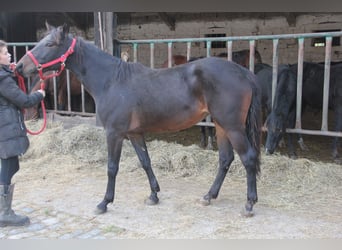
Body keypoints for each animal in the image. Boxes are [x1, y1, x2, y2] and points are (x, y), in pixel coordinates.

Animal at [15, 24, 262, 218]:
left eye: (49, 44)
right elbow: (145, 162)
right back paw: (209, 196)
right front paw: (153, 195)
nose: (19, 66)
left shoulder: (114, 133)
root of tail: (244, 73)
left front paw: (104, 202)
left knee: (248, 158)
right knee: (225, 159)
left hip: (233, 127)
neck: (112, 81)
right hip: (221, 126)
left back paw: (249, 204)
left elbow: (112, 167)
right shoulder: (134, 133)